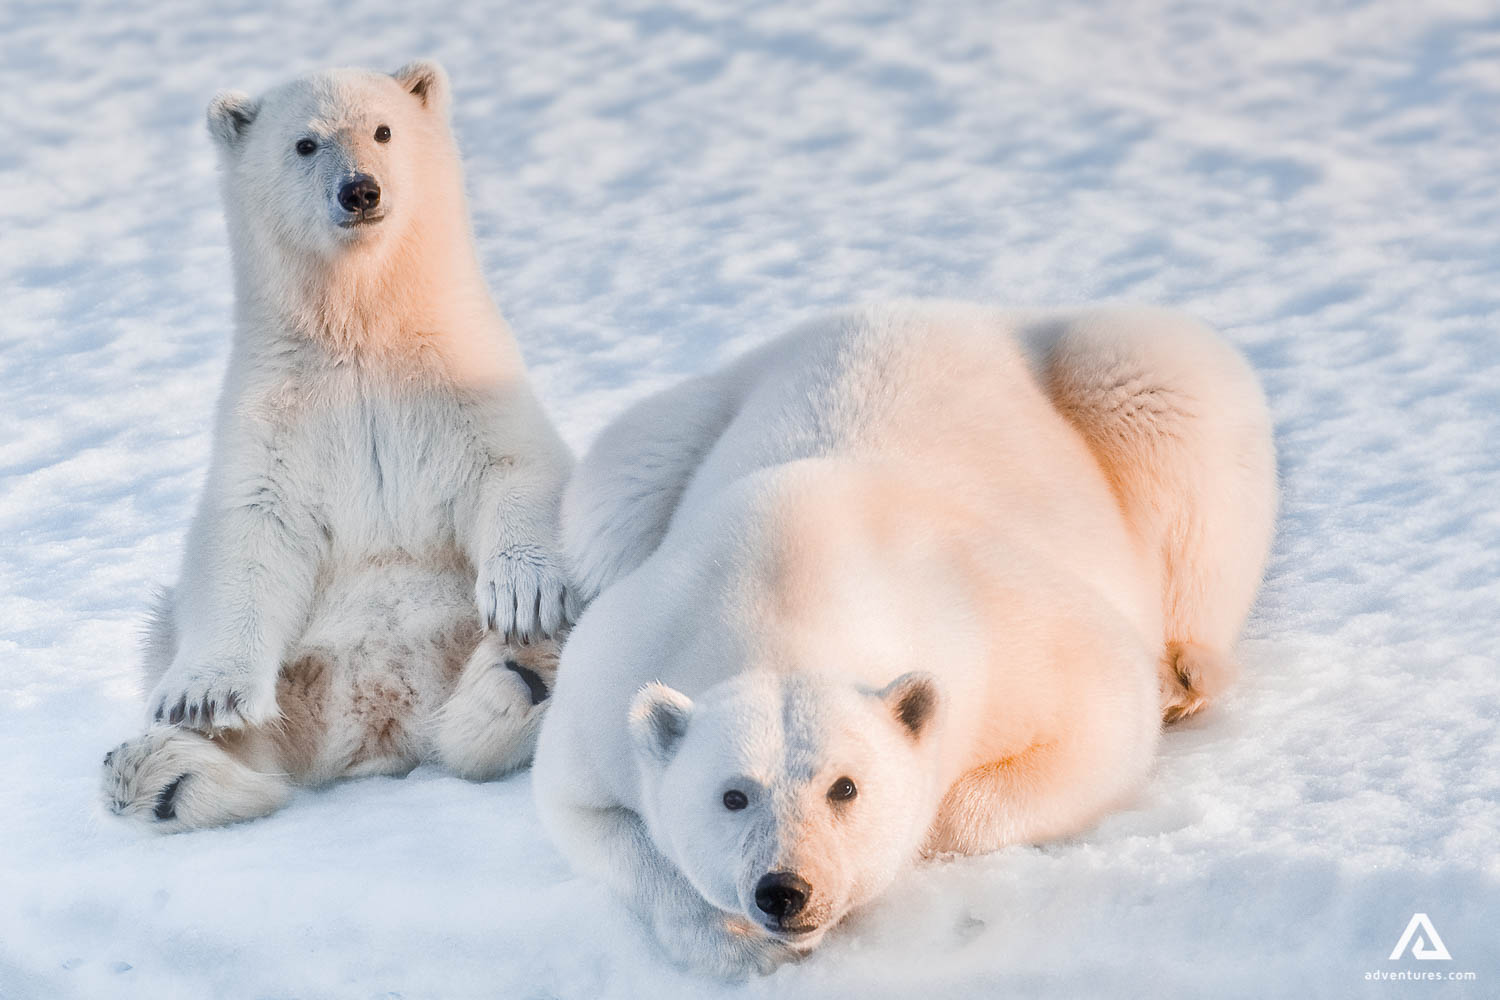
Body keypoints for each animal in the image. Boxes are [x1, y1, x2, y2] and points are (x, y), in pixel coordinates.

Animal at [100, 61, 576, 832]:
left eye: (382, 129)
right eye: (305, 143)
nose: (360, 189)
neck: (361, 332)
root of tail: (382, 721)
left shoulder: (464, 377)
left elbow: (515, 464)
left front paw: (524, 597)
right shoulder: (277, 414)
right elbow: (249, 529)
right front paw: (202, 696)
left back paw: (524, 670)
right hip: (293, 673)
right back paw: (162, 774)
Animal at [532, 300, 1277, 976]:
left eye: (845, 787)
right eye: (733, 794)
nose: (785, 890)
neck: (787, 592)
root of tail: (951, 310)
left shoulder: (992, 624)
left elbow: (1100, 713)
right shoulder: (619, 672)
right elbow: (585, 810)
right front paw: (737, 944)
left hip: (1121, 382)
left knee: (1171, 398)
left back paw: (1186, 674)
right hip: (674, 434)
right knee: (614, 489)